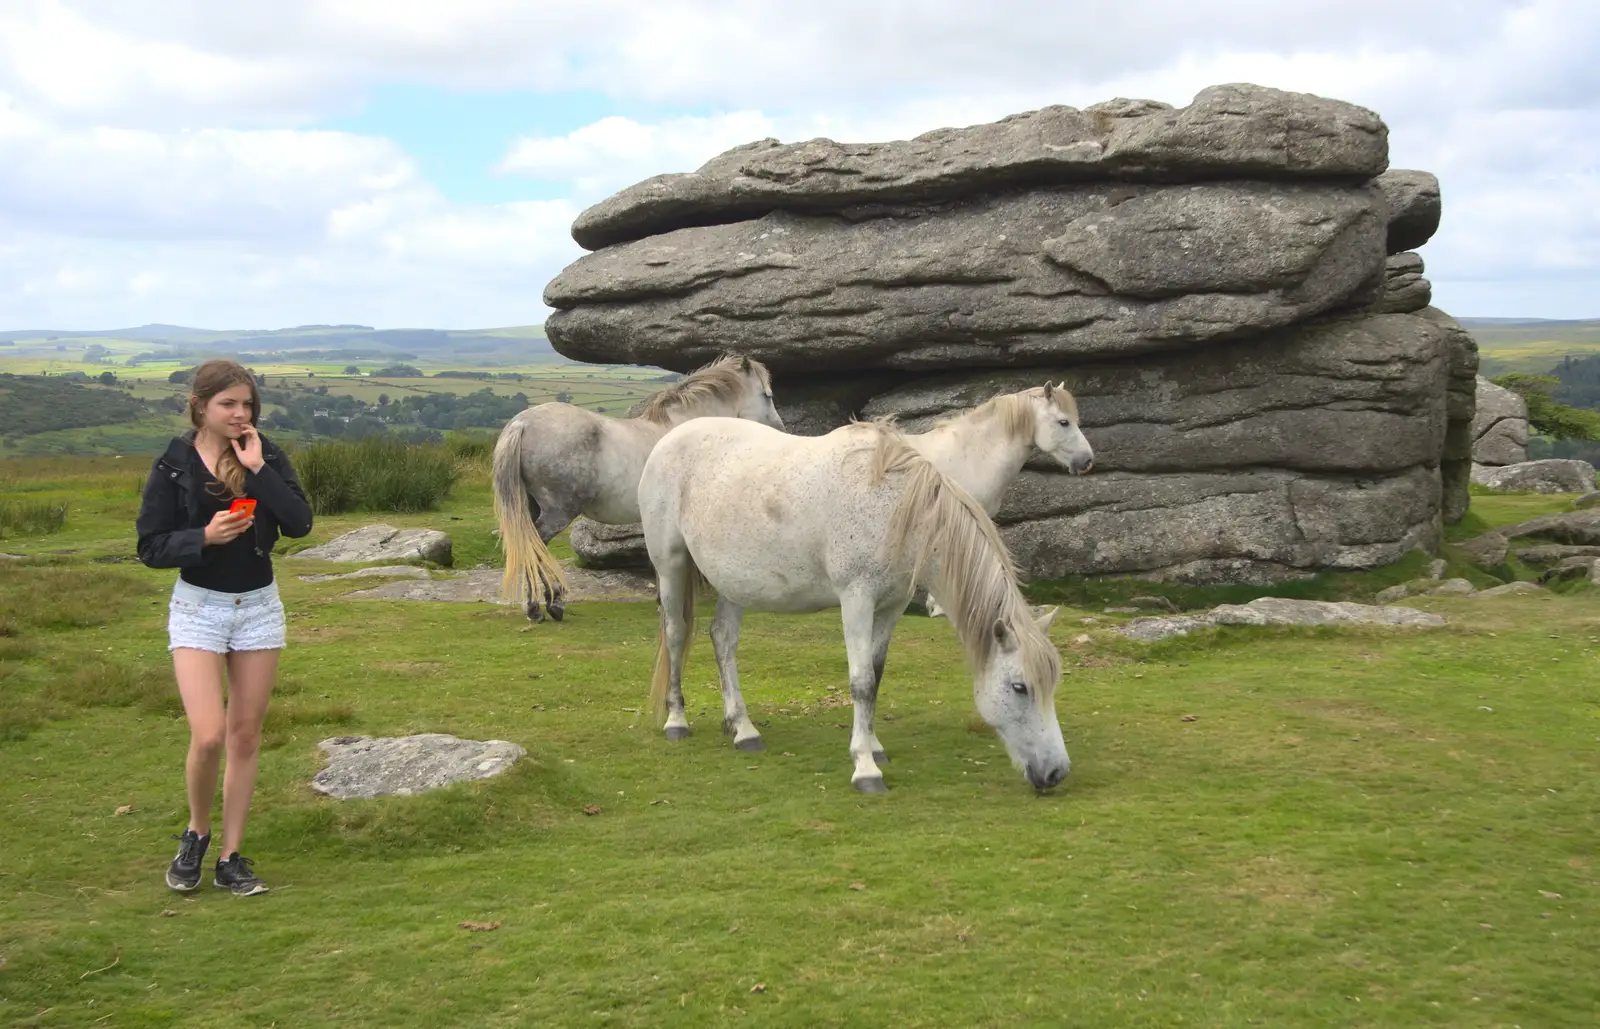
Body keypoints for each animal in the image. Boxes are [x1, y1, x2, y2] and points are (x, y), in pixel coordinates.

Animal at [489, 358, 784, 624]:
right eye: (767, 395)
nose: (780, 429)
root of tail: (522, 423)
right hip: (557, 512)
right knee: (536, 545)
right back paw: (547, 605)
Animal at [640, 419, 1075, 796]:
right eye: (1019, 687)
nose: (1056, 772)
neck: (896, 507)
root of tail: (670, 438)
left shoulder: (891, 605)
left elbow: (876, 676)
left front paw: (874, 745)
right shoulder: (857, 600)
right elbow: (861, 682)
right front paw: (865, 768)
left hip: (735, 582)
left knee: (723, 640)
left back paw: (743, 728)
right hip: (671, 564)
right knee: (676, 634)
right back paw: (677, 720)